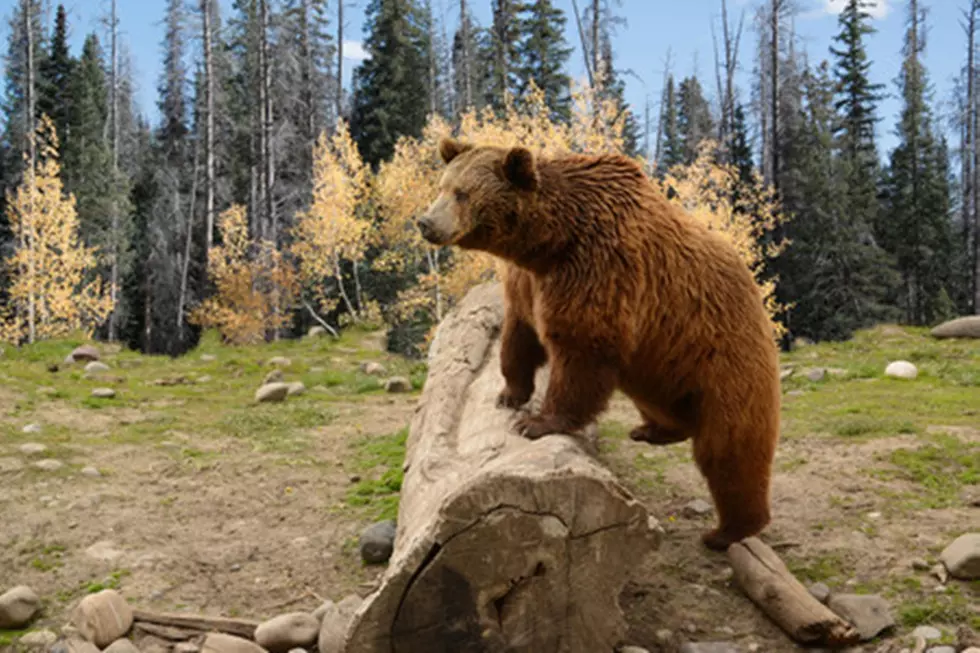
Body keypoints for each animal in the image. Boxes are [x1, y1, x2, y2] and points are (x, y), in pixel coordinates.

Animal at [416, 139, 780, 552]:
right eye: (442, 185)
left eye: (462, 193)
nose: (426, 223)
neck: (549, 243)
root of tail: (755, 291)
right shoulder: (528, 282)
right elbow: (519, 336)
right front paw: (509, 394)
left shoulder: (598, 268)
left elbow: (581, 351)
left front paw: (536, 422)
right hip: (663, 362)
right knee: (662, 402)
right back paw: (652, 431)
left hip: (724, 355)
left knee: (730, 449)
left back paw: (727, 530)